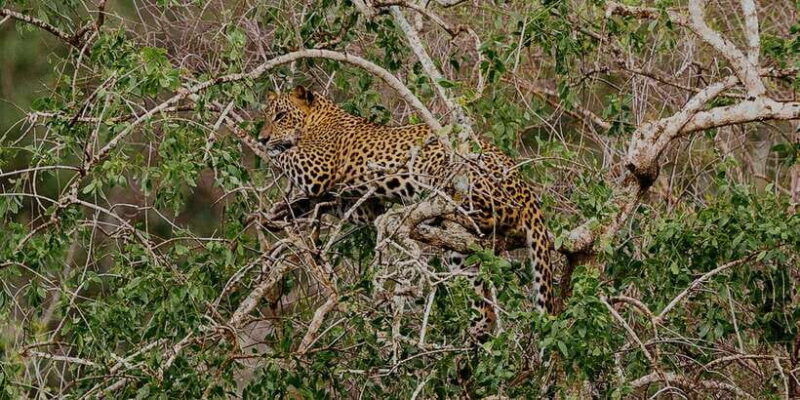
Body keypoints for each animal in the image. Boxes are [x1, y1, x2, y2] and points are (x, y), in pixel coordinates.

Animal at [258, 85, 554, 337]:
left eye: (281, 116)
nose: (262, 138)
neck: (318, 118)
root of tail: (525, 189)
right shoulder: (363, 205)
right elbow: (318, 201)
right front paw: (282, 211)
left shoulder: (317, 168)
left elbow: (288, 156)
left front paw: (267, 148)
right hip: (460, 253)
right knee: (483, 303)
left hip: (444, 165)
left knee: (484, 212)